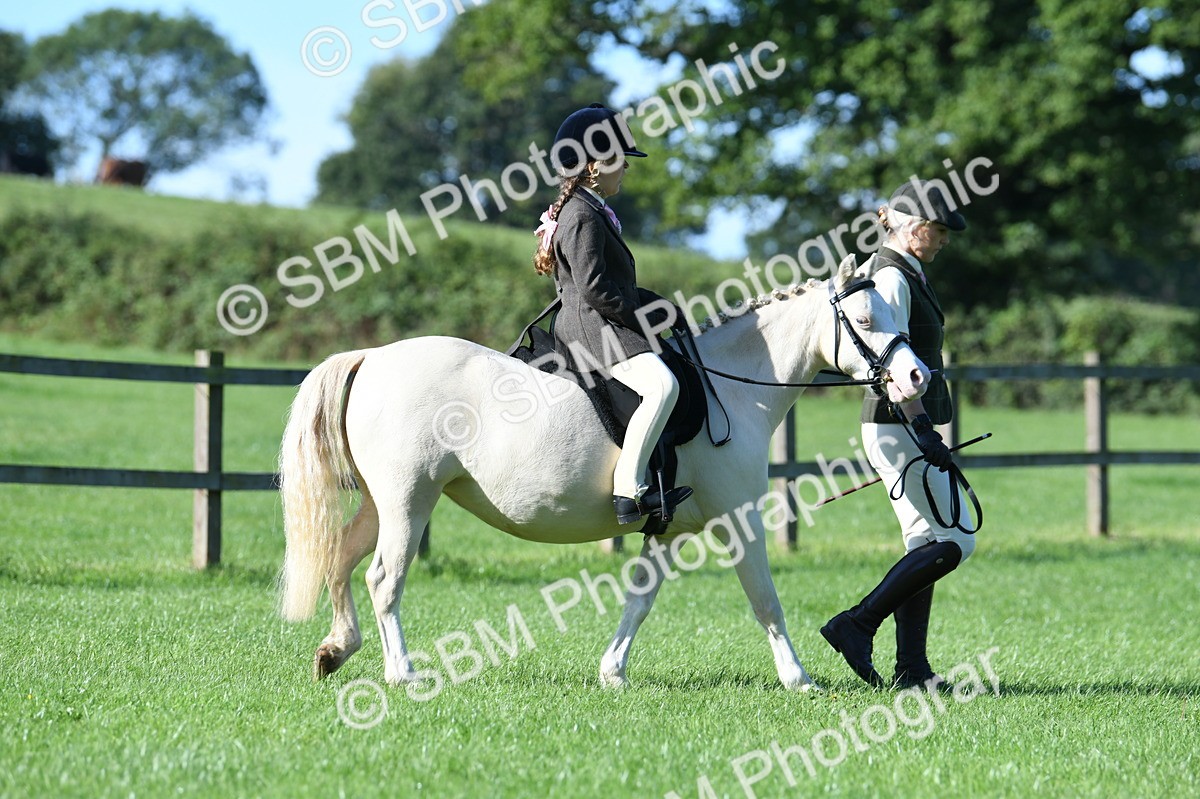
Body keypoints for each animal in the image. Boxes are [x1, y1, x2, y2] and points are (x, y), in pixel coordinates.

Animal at [277, 253, 930, 691]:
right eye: (865, 319)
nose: (916, 378)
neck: (731, 388)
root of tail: (373, 357)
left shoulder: (668, 529)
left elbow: (639, 600)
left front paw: (612, 672)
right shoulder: (737, 519)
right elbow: (766, 600)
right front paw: (799, 679)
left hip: (379, 502)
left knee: (340, 560)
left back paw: (335, 651)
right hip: (409, 501)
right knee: (384, 579)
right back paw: (403, 673)